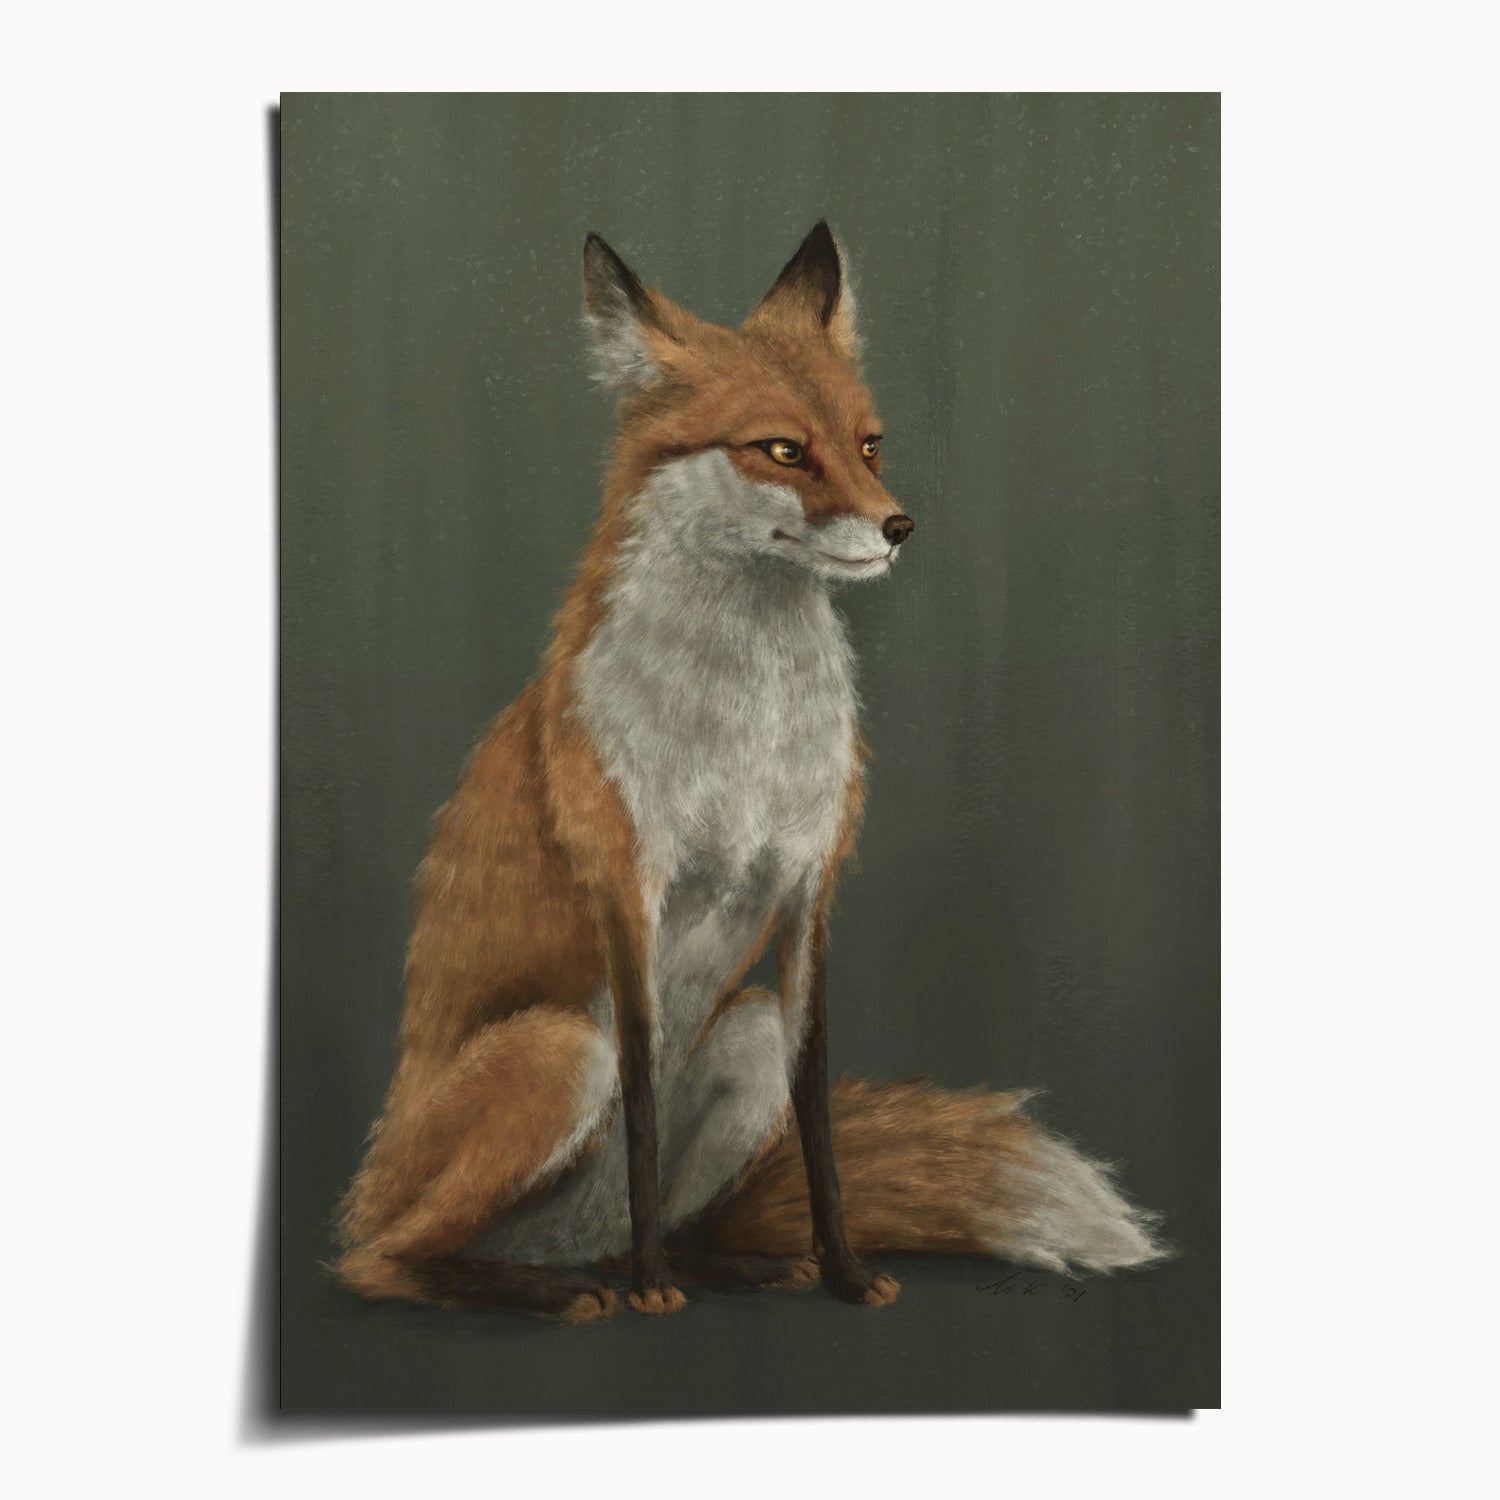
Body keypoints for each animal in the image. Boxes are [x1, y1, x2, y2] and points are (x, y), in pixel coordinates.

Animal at [333, 221, 1167, 1321]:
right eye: (782, 449)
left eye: (869, 443)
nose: (900, 526)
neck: (746, 731)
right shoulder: (628, 891)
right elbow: (643, 1100)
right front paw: (652, 1293)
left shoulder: (810, 889)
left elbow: (816, 1115)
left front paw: (844, 1272)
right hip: (558, 1052)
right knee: (383, 1260)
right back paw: (564, 1288)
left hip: (745, 1033)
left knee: (666, 1215)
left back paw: (726, 1264)